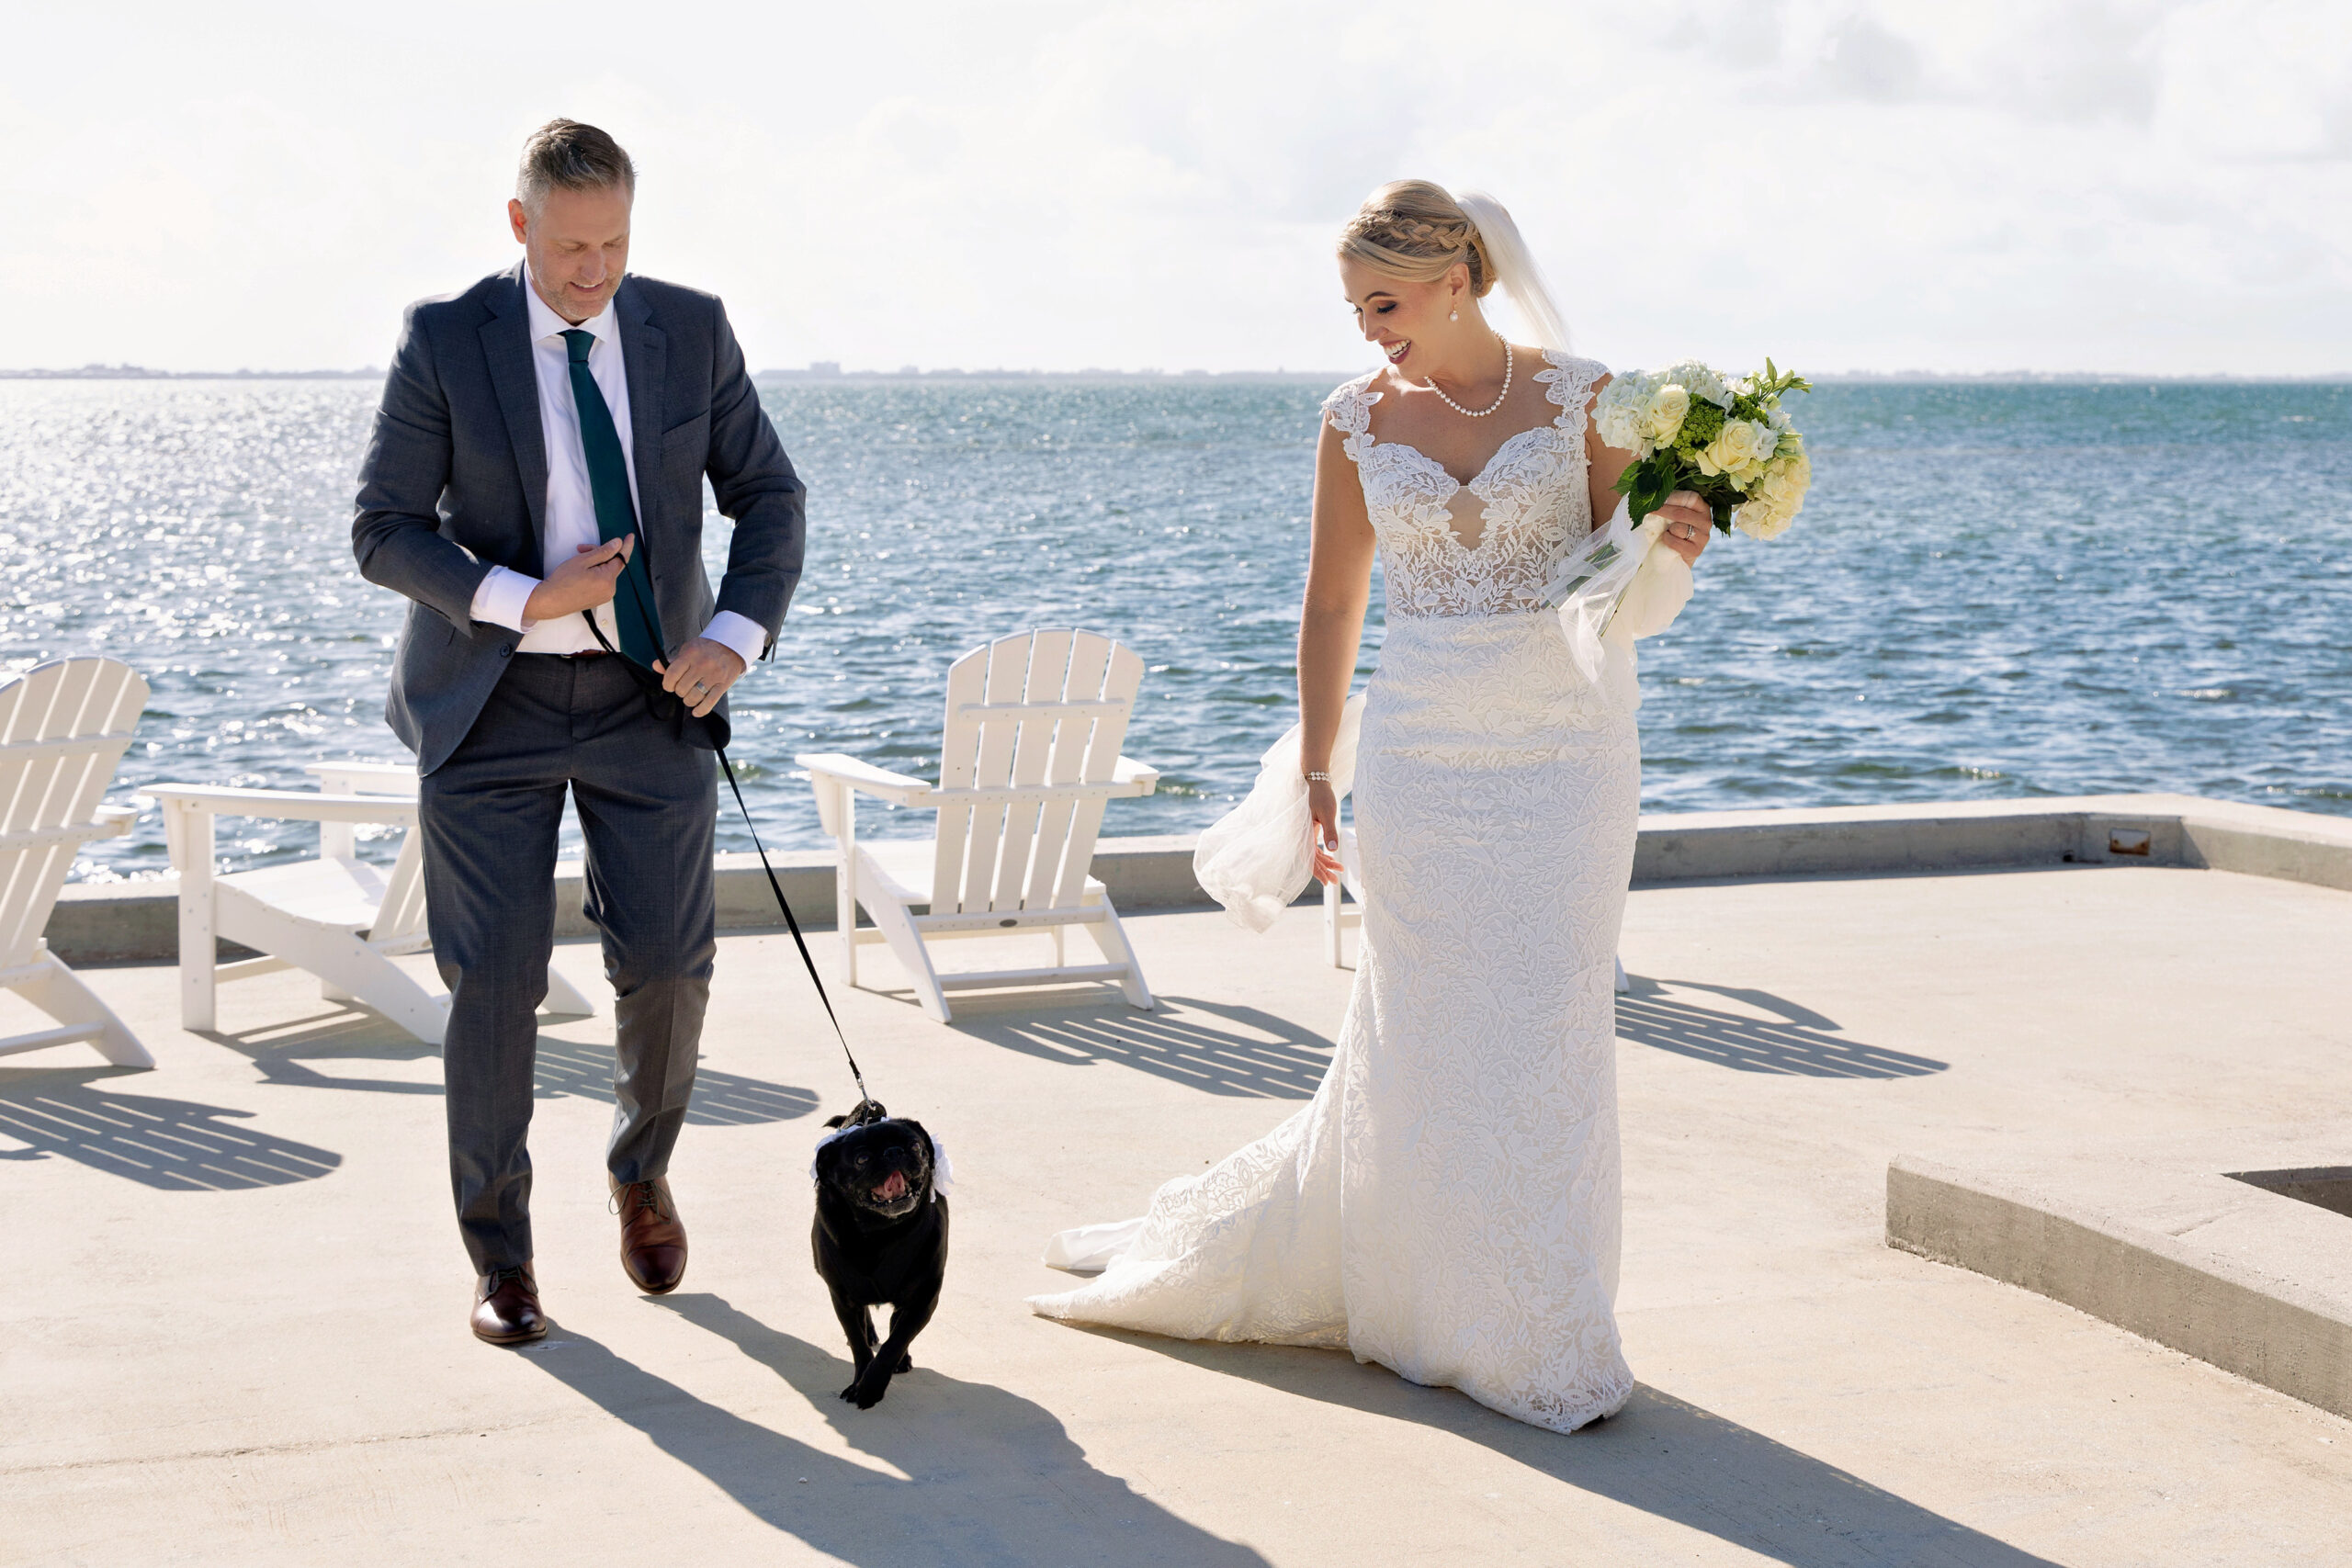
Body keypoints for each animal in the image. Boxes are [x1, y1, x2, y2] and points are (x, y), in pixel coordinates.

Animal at [818, 1104, 945, 1410]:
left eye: (915, 1146)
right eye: (862, 1159)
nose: (894, 1152)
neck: (880, 1233)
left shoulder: (923, 1298)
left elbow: (895, 1342)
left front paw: (871, 1388)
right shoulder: (841, 1297)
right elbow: (858, 1343)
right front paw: (860, 1380)